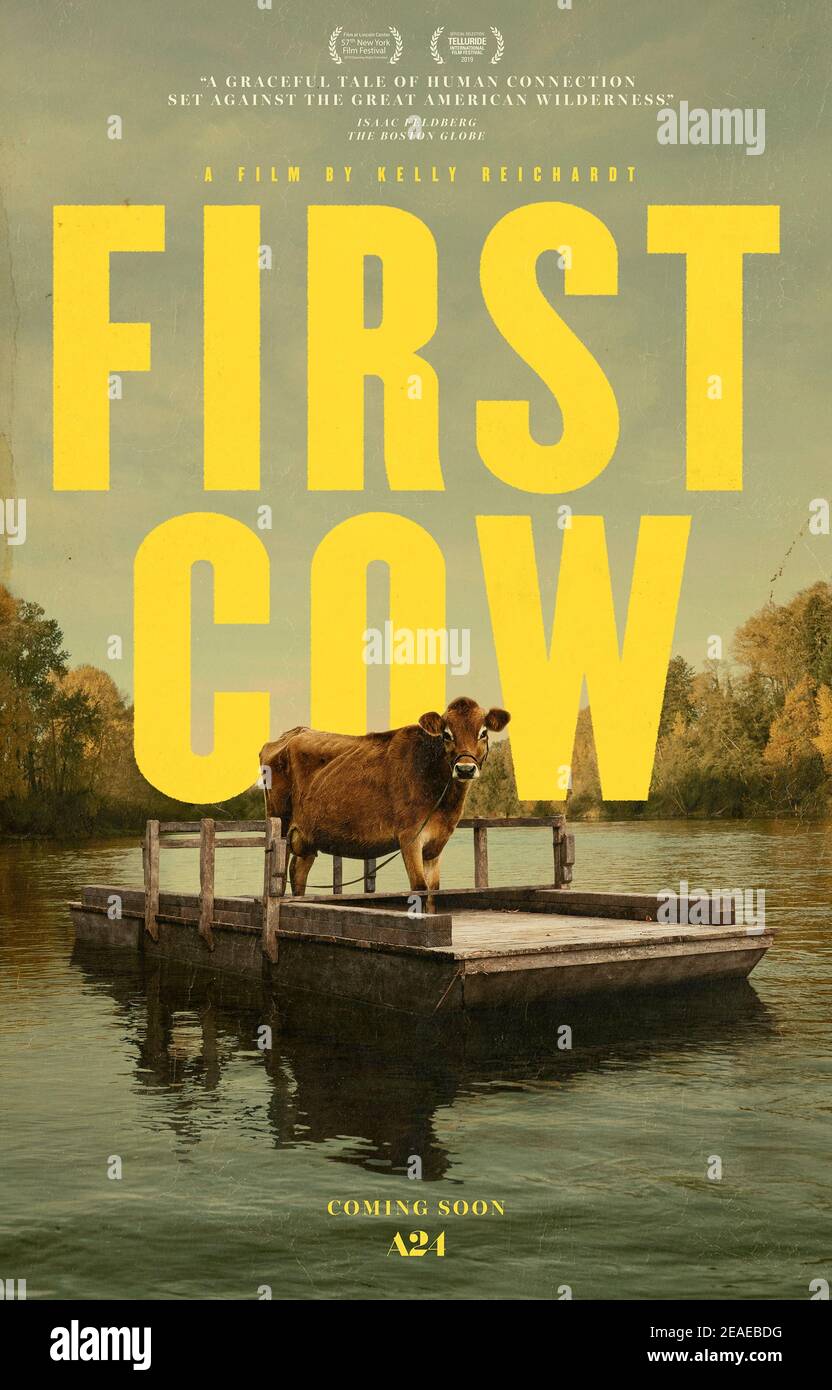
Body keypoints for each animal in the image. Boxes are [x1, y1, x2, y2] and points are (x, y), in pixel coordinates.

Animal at [258, 696, 510, 896]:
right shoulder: (410, 837)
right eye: (446, 734)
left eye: (483, 733)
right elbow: (419, 887)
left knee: (298, 872)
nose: (465, 769)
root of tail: (291, 734)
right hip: (281, 824)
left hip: (308, 836)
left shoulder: (436, 844)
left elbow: (433, 891)